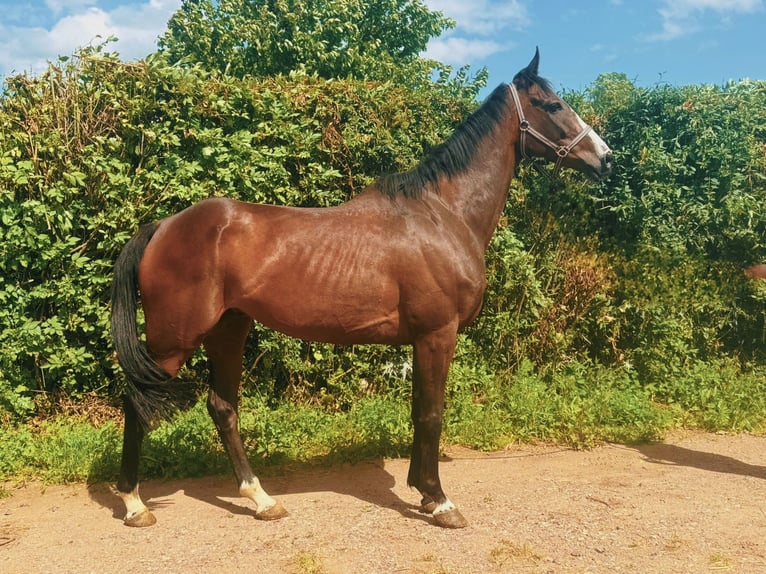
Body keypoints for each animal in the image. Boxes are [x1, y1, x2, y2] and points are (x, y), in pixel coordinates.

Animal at [111, 49, 616, 532]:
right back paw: (135, 504)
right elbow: (432, 414)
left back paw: (261, 500)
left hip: (228, 330)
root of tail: (161, 227)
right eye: (552, 105)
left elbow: (417, 411)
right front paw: (440, 501)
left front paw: (423, 491)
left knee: (222, 407)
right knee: (137, 404)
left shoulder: (421, 340)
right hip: (174, 341)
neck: (442, 213)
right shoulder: (438, 334)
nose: (606, 158)